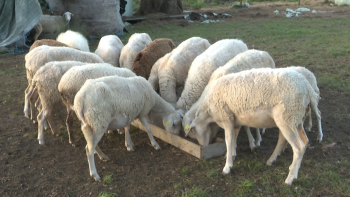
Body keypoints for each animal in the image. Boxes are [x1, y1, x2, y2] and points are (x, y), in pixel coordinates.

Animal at [186, 67, 320, 185]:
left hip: (287, 116)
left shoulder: (227, 119)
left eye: (193, 131)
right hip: (295, 118)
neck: (208, 112)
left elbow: (228, 141)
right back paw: (275, 161)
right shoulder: (235, 121)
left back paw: (290, 178)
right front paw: (233, 156)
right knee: (300, 141)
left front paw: (227, 167)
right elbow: (234, 139)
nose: (203, 146)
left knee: (298, 148)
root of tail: (308, 87)